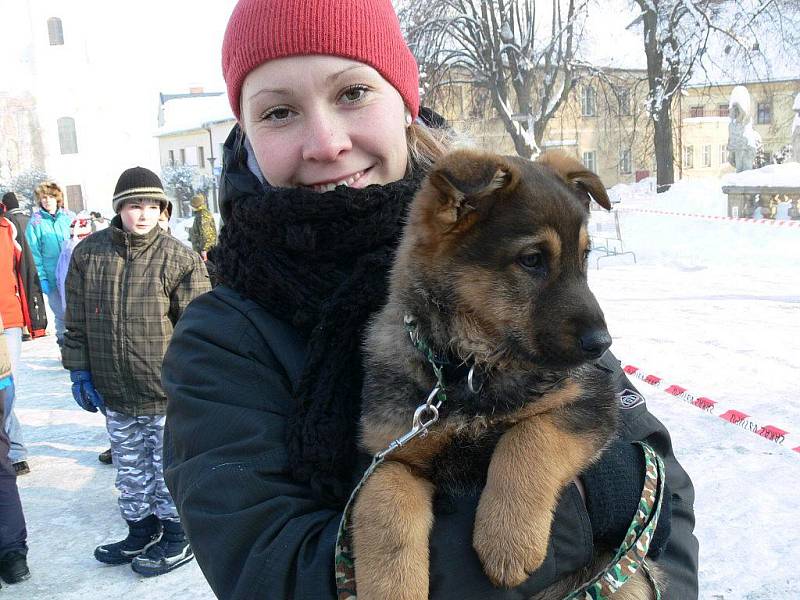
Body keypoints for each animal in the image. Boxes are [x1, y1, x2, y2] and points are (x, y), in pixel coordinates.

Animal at [354, 149, 660, 600]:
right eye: (532, 260)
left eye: (585, 256)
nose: (602, 344)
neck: (470, 367)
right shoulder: (393, 452)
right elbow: (382, 502)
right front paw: (391, 589)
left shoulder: (591, 400)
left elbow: (530, 437)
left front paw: (508, 541)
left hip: (630, 580)